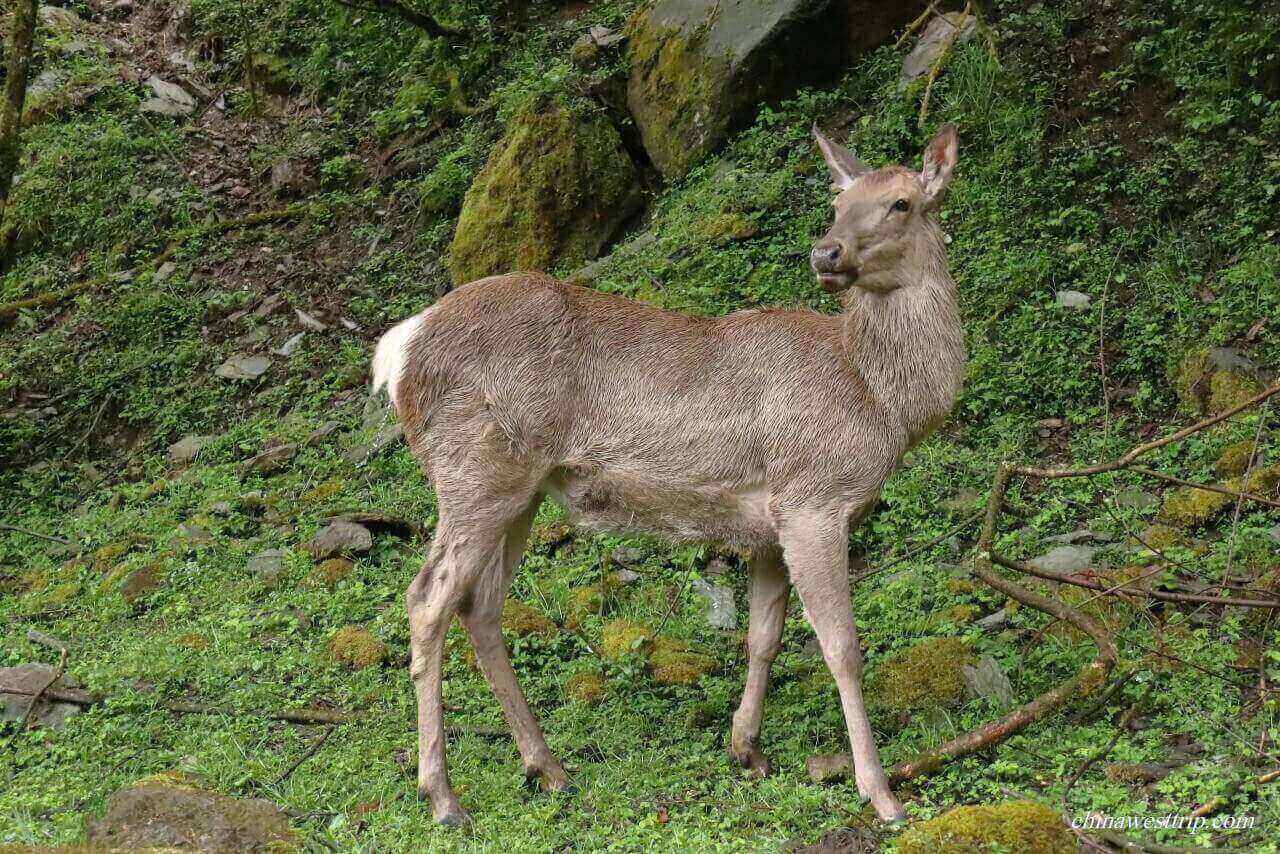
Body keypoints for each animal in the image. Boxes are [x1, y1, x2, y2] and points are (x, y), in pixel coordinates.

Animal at [370, 122, 964, 826]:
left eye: (901, 202)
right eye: (839, 200)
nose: (827, 252)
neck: (875, 397)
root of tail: (398, 353)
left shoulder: (769, 523)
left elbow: (764, 637)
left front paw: (747, 749)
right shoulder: (813, 500)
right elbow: (842, 647)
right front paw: (881, 792)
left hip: (517, 489)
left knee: (480, 606)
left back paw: (548, 767)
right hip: (473, 471)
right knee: (427, 599)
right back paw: (443, 796)